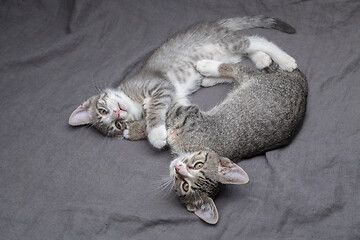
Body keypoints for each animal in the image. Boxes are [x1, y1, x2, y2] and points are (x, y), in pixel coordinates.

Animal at [69, 15, 296, 148]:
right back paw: (255, 62)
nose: (116, 112)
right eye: (116, 124)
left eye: (102, 110)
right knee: (241, 57)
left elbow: (155, 110)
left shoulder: (159, 85)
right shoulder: (177, 100)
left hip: (227, 43)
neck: (132, 99)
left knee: (257, 40)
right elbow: (171, 114)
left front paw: (155, 133)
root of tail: (213, 24)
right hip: (226, 54)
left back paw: (284, 60)